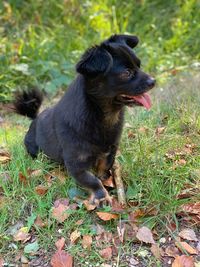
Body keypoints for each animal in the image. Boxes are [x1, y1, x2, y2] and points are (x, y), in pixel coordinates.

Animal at [13, 34, 155, 206]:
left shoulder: (110, 151)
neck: (105, 116)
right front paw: (102, 196)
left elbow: (104, 167)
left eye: (139, 65)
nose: (153, 81)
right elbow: (92, 180)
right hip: (33, 148)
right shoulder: (76, 165)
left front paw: (107, 181)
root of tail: (35, 118)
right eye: (127, 73)